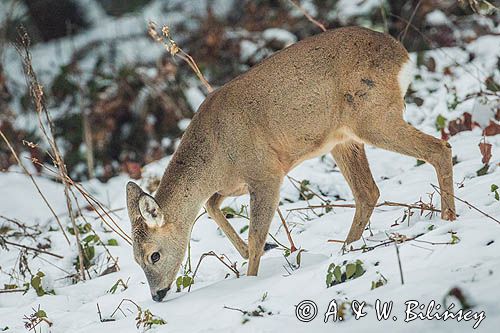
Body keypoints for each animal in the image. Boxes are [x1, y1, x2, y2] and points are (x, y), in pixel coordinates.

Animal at [126, 26, 458, 300]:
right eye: (135, 258)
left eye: (153, 256)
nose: (157, 295)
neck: (215, 157)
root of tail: (402, 55)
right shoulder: (235, 183)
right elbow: (210, 205)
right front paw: (257, 252)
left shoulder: (266, 172)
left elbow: (255, 234)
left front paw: (251, 279)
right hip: (343, 138)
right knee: (368, 191)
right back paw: (345, 248)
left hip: (373, 116)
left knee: (439, 148)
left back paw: (448, 219)